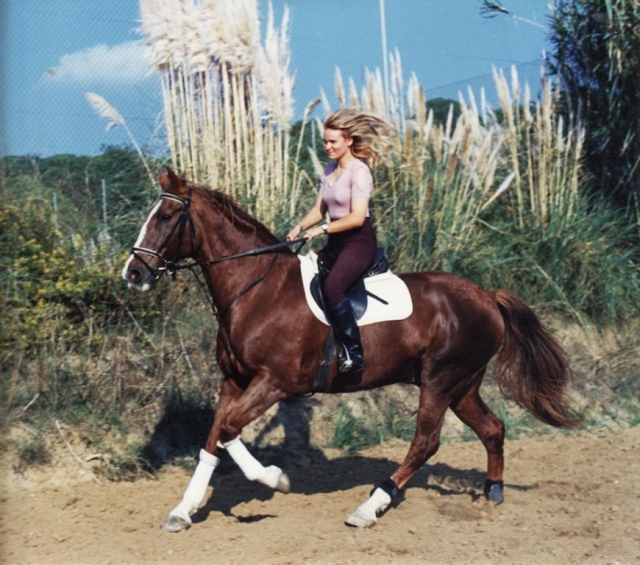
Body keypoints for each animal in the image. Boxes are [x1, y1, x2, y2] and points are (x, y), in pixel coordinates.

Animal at [123, 167, 579, 532]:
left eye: (166, 216)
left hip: (440, 380)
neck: (256, 289)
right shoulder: (234, 381)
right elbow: (214, 439)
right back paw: (493, 492)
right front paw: (183, 510)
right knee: (492, 428)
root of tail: (486, 295)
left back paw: (369, 508)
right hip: (462, 385)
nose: (134, 273)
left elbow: (231, 431)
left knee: (425, 442)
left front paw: (275, 479)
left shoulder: (275, 382)